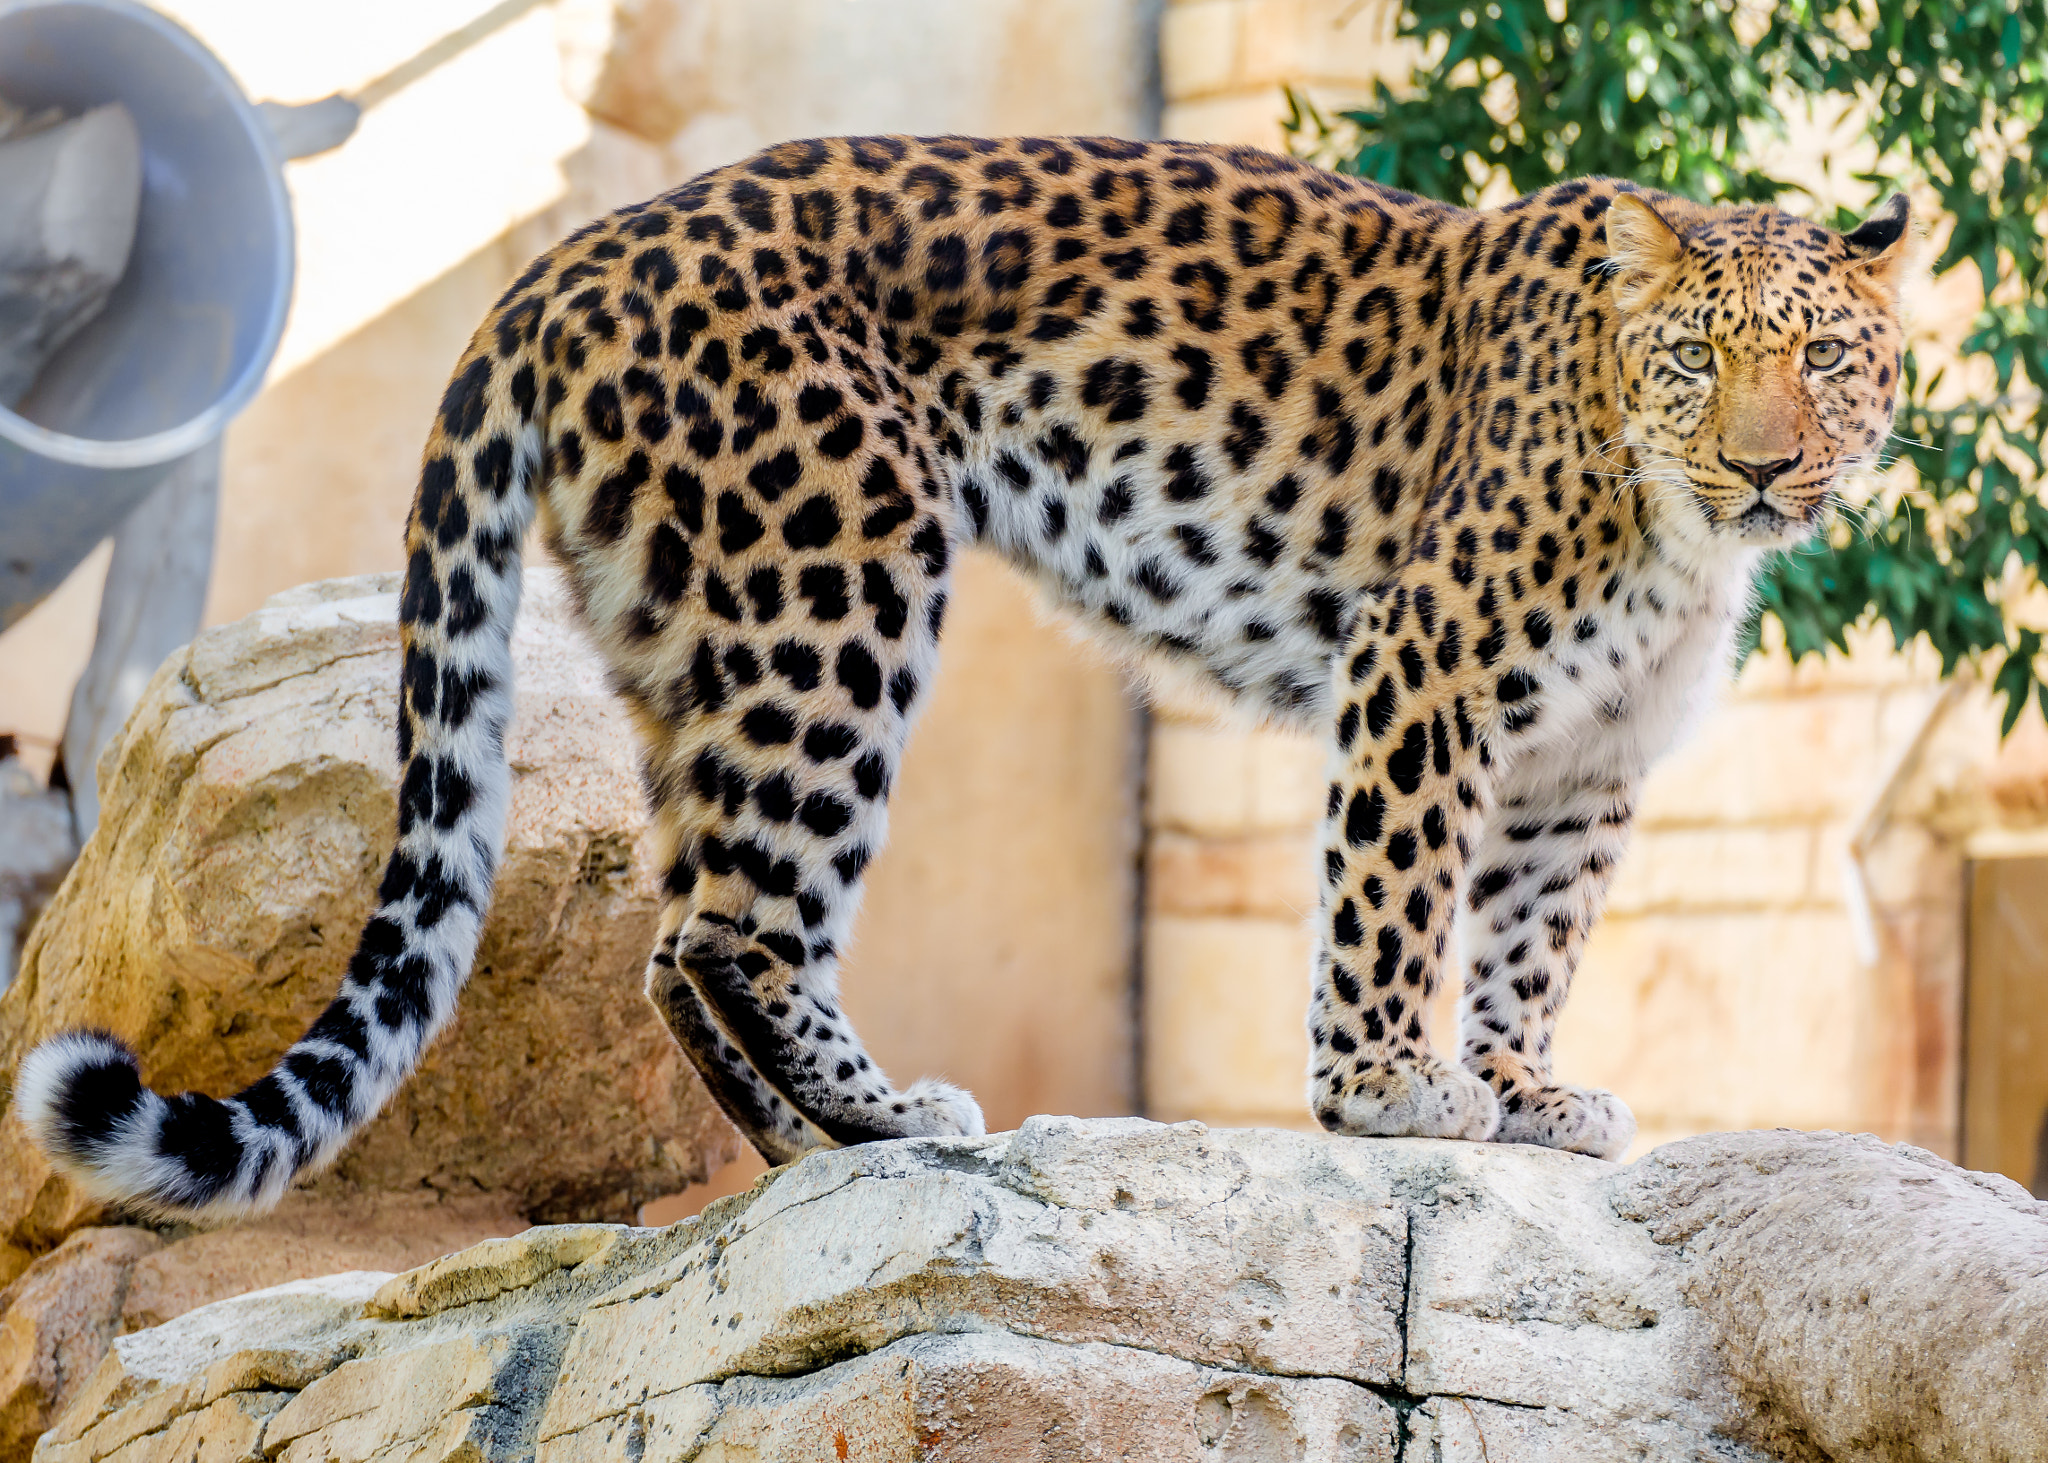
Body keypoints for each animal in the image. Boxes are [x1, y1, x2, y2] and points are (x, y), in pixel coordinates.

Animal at [18, 134, 1915, 1219]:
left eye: (1824, 359)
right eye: (1698, 363)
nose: (1764, 466)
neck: (1674, 525)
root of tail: (572, 258)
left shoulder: (1587, 757)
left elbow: (1530, 938)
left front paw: (1527, 1094)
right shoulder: (1424, 669)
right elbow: (1393, 897)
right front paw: (1389, 1093)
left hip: (694, 631)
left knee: (675, 927)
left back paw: (819, 1146)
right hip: (836, 579)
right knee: (743, 918)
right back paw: (889, 1116)